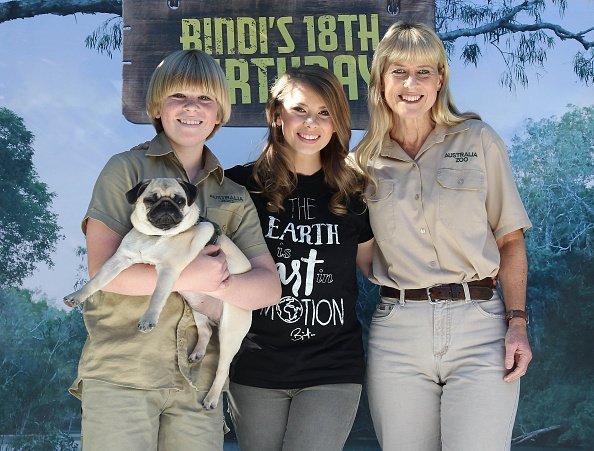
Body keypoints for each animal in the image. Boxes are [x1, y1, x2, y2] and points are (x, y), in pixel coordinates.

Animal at [64, 178, 250, 412]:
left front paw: (148, 319)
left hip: (230, 331)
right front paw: (77, 295)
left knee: (222, 369)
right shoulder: (118, 260)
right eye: (150, 200)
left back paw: (211, 398)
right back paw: (197, 353)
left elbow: (157, 296)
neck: (154, 237)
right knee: (205, 330)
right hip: (197, 306)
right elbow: (96, 281)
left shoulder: (168, 271)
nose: (166, 205)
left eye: (180, 201)